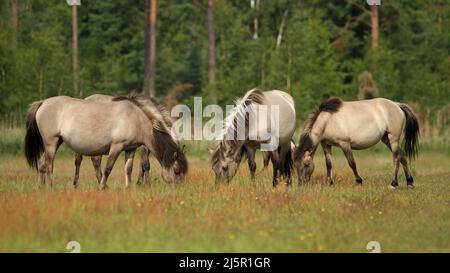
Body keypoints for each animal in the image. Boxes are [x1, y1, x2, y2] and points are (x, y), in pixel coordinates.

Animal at [25, 94, 186, 188]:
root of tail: (42, 102)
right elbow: (109, 168)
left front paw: (128, 188)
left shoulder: (131, 149)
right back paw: (52, 187)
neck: (136, 118)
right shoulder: (116, 147)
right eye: (176, 171)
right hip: (51, 142)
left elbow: (128, 169)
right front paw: (102, 187)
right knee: (50, 165)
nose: (179, 189)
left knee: (42, 163)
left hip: (57, 142)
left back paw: (41, 187)